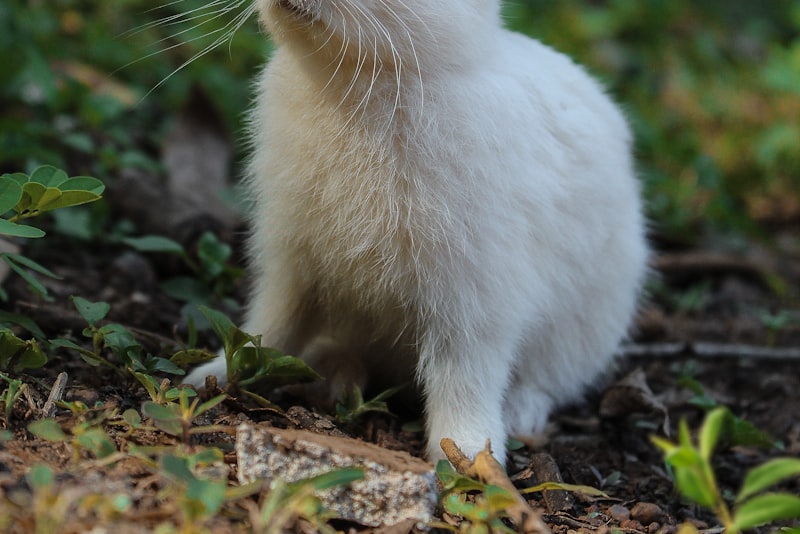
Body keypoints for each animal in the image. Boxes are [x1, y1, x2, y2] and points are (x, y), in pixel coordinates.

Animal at [184, 0, 649, 465]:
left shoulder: (474, 297)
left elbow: (465, 376)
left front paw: (467, 456)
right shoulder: (293, 266)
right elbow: (271, 328)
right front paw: (212, 375)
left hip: (581, 331)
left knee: (544, 382)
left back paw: (520, 417)